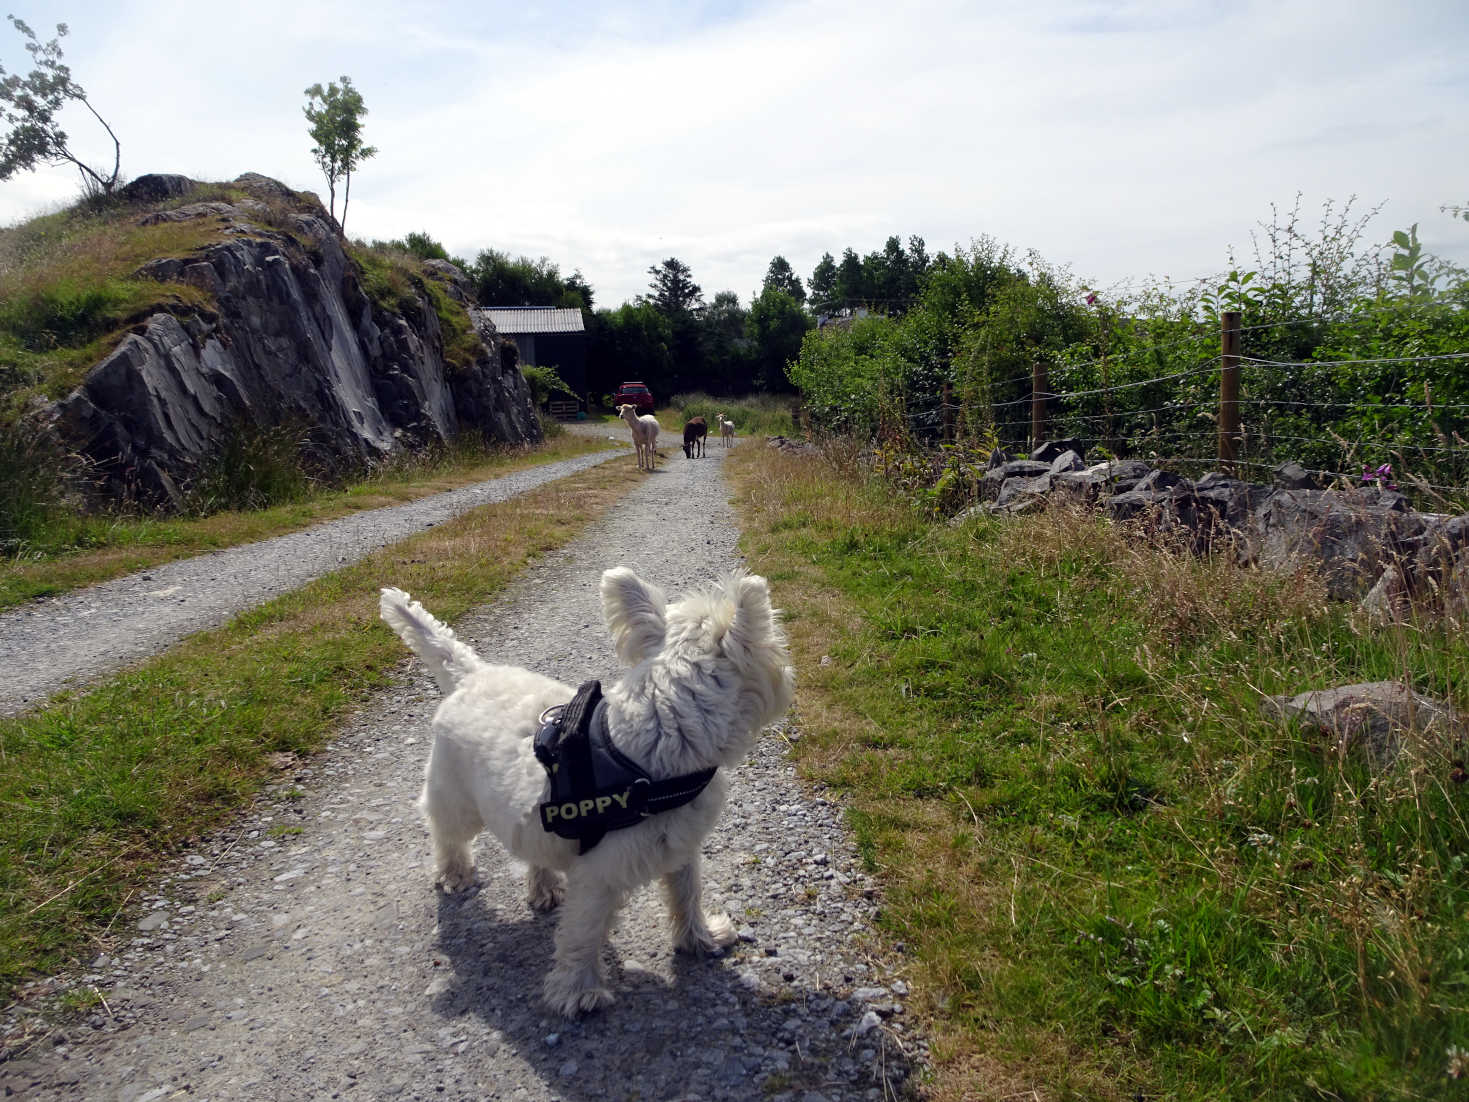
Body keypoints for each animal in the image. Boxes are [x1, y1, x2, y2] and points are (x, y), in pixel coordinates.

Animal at [379, 570, 793, 1016]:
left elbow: (686, 894)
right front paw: (579, 991)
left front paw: (700, 939)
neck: (655, 750)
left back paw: (544, 887)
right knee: (446, 833)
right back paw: (456, 874)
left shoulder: (681, 847)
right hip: (455, 796)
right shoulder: (599, 875)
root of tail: (471, 674)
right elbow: (583, 932)